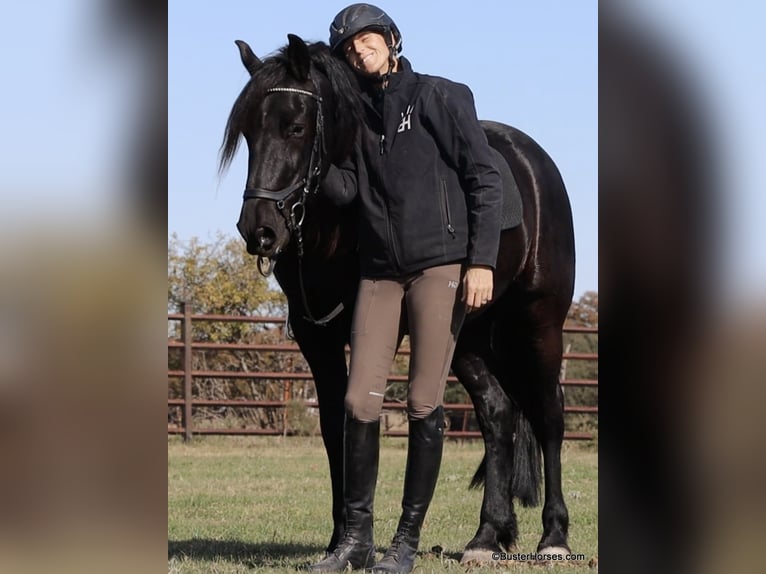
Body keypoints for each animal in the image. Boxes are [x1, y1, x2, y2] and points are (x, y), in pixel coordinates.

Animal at [220, 34, 575, 563]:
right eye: (247, 134)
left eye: (296, 126)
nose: (259, 230)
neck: (335, 229)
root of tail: (535, 163)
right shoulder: (317, 336)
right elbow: (337, 425)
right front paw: (342, 542)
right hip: (467, 336)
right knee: (497, 414)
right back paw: (486, 536)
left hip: (539, 323)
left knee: (549, 414)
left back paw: (553, 535)